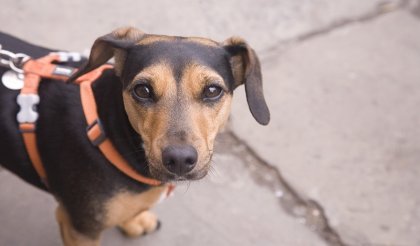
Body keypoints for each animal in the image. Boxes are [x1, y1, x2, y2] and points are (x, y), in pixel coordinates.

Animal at [0, 26, 270, 244]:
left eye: (213, 90)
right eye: (143, 90)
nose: (179, 160)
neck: (106, 129)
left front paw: (133, 221)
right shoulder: (79, 228)